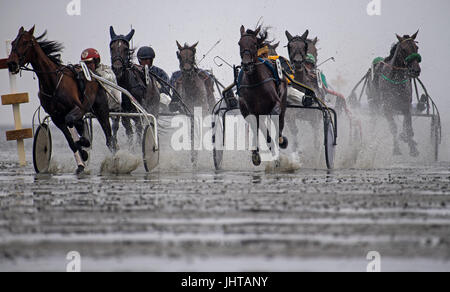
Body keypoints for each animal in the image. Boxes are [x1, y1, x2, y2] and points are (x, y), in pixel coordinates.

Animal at [7, 26, 116, 173]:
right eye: (13, 43)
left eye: (25, 42)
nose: (11, 64)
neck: (52, 83)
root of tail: (95, 75)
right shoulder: (56, 117)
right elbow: (71, 142)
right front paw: (82, 154)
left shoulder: (77, 108)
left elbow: (73, 125)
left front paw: (84, 146)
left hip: (101, 110)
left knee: (109, 139)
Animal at [239, 25, 288, 165]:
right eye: (239, 43)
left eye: (254, 44)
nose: (247, 64)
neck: (256, 82)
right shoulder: (252, 110)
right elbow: (259, 127)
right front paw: (256, 153)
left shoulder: (276, 103)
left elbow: (275, 116)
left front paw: (279, 142)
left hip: (283, 101)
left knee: (280, 120)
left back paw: (281, 141)